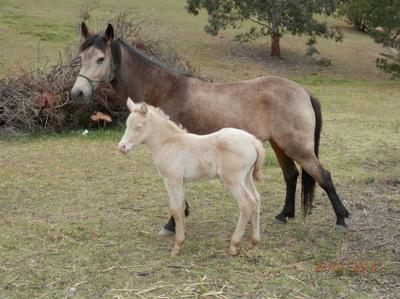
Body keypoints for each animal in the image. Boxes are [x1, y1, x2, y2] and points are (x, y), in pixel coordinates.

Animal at [72, 23, 350, 234]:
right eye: (81, 57)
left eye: (100, 58)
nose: (77, 93)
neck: (165, 88)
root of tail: (303, 91)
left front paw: (172, 223)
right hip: (279, 145)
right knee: (291, 176)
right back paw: (285, 214)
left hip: (297, 147)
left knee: (323, 176)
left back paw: (341, 218)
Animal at [119, 98, 266, 255]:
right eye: (127, 124)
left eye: (138, 127)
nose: (121, 147)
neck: (169, 143)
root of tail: (253, 141)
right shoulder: (181, 181)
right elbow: (182, 206)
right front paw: (183, 235)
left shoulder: (172, 180)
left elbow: (175, 209)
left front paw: (177, 246)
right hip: (246, 177)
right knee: (256, 199)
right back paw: (254, 241)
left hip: (233, 179)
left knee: (246, 203)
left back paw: (233, 245)